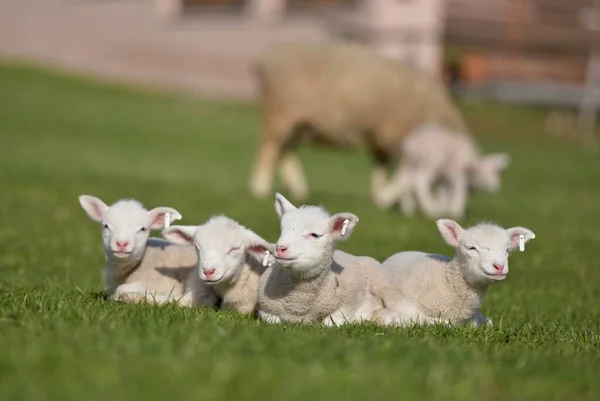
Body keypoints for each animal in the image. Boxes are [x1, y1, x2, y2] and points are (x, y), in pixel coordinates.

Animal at [248, 41, 468, 206]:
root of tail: (265, 60)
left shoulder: (382, 139)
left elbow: (379, 168)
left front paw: (378, 196)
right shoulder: (396, 134)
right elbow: (402, 173)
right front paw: (388, 197)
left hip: (299, 124)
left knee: (284, 152)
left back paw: (299, 190)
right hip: (280, 114)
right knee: (269, 149)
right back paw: (260, 188)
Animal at [256, 191, 390, 324]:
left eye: (314, 235)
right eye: (282, 231)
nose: (280, 248)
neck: (300, 304)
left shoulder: (345, 309)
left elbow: (330, 323)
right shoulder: (266, 310)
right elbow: (273, 320)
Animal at [376, 123, 510, 220]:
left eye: (496, 173)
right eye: (489, 173)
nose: (496, 187)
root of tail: (412, 143)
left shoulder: (444, 177)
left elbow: (444, 193)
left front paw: (445, 209)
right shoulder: (456, 172)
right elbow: (458, 189)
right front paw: (456, 211)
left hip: (409, 164)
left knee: (404, 183)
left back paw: (407, 209)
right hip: (431, 160)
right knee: (420, 182)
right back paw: (430, 209)